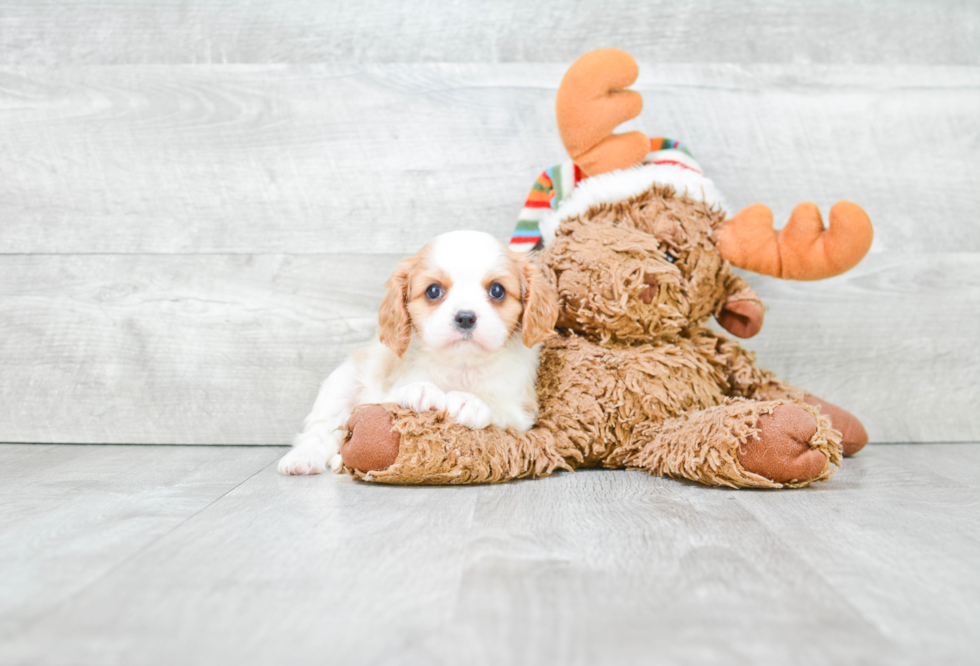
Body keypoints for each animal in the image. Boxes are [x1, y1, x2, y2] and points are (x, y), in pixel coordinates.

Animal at [280, 231, 564, 474]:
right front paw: (420, 390)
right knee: (319, 431)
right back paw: (303, 459)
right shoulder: (380, 389)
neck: (461, 364)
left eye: (497, 290)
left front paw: (470, 401)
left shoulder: (523, 411)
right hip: (340, 385)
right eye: (433, 291)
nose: (465, 317)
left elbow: (500, 405)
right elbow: (393, 394)